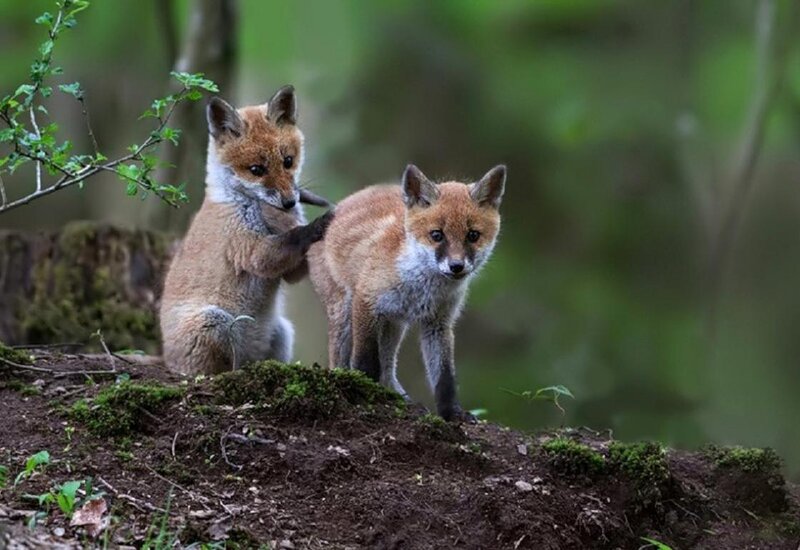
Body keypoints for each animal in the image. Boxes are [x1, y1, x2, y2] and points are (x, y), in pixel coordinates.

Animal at [160, 85, 333, 375]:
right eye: (256, 170)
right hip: (215, 322)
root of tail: (165, 359)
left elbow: (294, 264)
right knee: (217, 369)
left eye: (288, 161)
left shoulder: (289, 272)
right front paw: (319, 223)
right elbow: (288, 240)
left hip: (282, 332)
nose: (290, 202)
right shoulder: (246, 248)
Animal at [308, 163, 506, 420]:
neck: (421, 289)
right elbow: (365, 361)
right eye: (437, 235)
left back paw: (397, 396)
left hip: (394, 325)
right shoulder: (366, 301)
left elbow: (444, 377)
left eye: (472, 235)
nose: (456, 266)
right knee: (341, 360)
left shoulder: (438, 323)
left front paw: (452, 413)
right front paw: (363, 393)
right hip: (344, 315)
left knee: (388, 367)